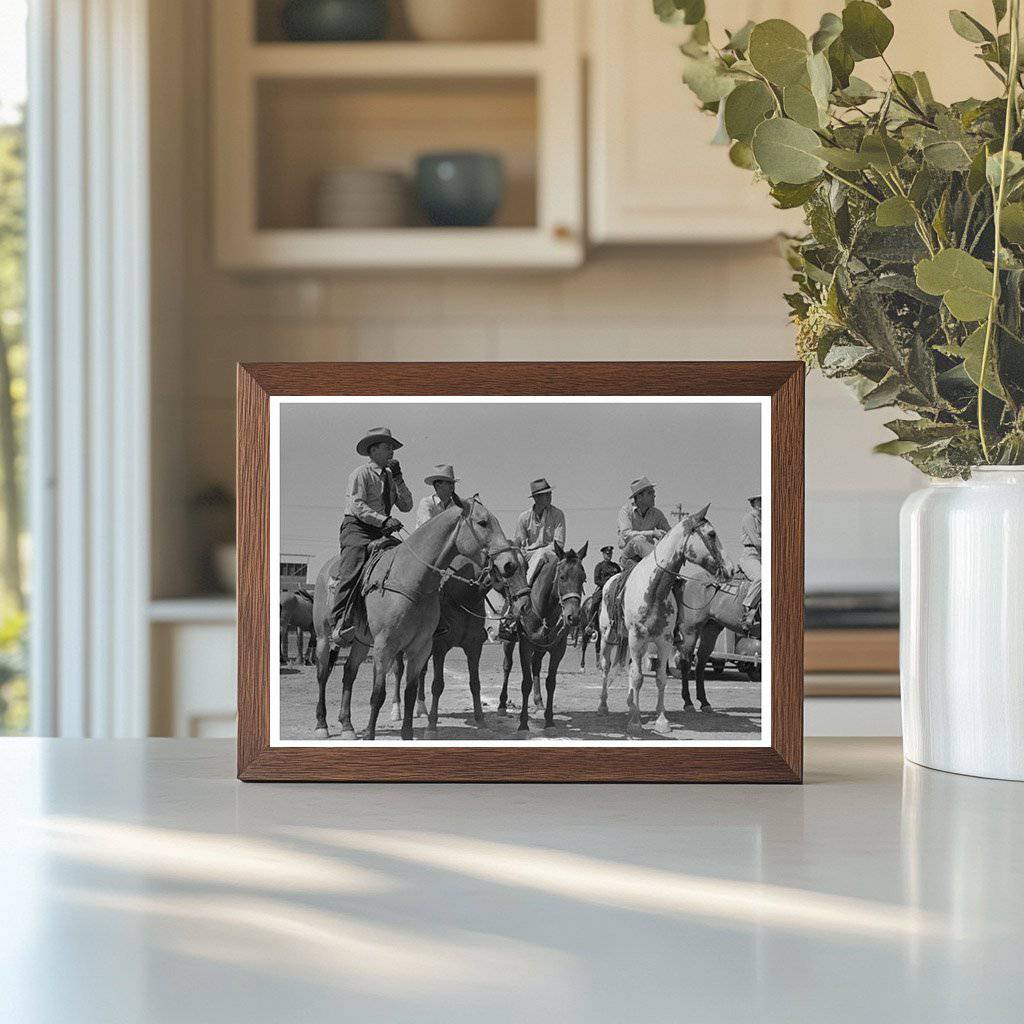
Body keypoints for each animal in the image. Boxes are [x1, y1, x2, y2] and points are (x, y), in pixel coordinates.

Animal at [309, 493, 528, 741]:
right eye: (482, 522)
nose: (509, 564)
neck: (412, 580)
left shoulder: (422, 647)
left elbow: (413, 690)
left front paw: (407, 733)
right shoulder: (386, 647)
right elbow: (379, 693)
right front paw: (371, 735)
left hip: (361, 642)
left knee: (349, 673)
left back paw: (347, 725)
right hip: (324, 638)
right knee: (323, 675)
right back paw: (322, 725)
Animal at [497, 540, 589, 733]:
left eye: (583, 578)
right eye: (562, 577)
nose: (573, 617)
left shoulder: (558, 649)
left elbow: (551, 682)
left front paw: (549, 720)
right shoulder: (525, 646)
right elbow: (525, 683)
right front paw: (523, 723)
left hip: (541, 647)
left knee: (536, 667)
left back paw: (539, 702)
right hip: (508, 642)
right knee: (507, 666)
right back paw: (502, 705)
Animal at [598, 509, 733, 737]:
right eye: (712, 534)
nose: (730, 569)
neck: (654, 589)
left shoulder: (664, 641)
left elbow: (660, 678)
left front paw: (661, 721)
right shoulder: (636, 638)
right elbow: (638, 678)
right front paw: (635, 723)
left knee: (630, 667)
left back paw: (630, 703)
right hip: (608, 637)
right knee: (607, 667)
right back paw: (603, 705)